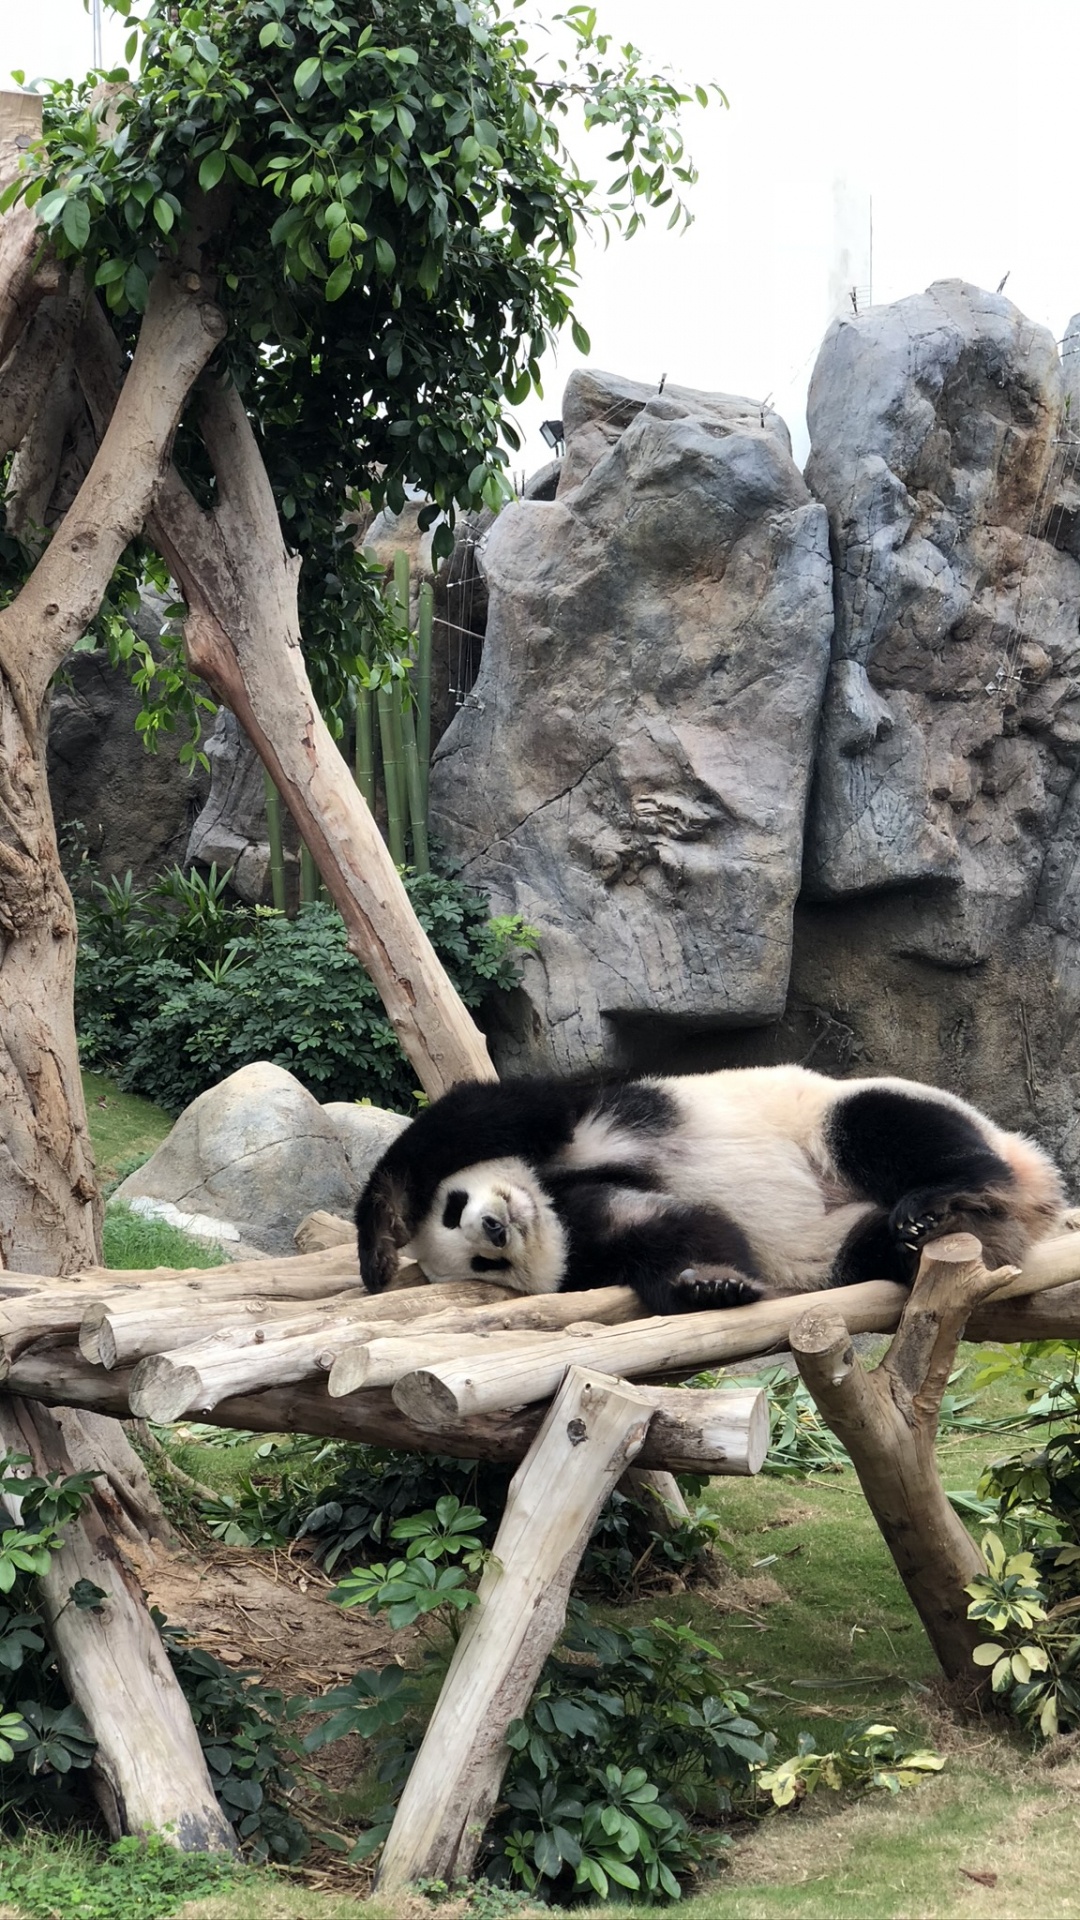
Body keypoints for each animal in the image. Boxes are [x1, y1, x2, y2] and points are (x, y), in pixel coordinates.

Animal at [355, 1065, 1067, 1316]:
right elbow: (674, 1229)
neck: (549, 1196)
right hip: (837, 1244)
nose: (497, 1227)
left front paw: (380, 1243)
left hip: (831, 1114)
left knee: (884, 1126)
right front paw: (711, 1286)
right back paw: (922, 1242)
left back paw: (942, 1195)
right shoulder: (587, 1243)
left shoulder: (580, 1123)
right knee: (867, 1247)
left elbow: (481, 1116)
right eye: (483, 1265)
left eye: (455, 1208)